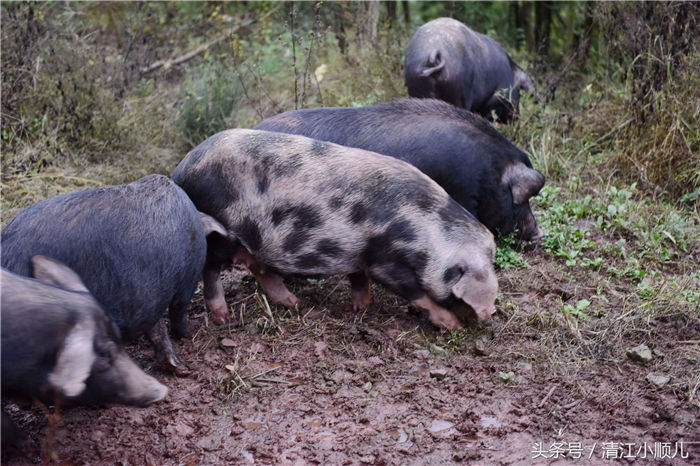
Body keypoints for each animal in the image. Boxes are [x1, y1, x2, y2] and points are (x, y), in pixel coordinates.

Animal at [171, 129, 498, 330]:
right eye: (461, 296)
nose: (484, 316)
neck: (429, 236)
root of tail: (181, 170)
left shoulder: (358, 254)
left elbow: (359, 282)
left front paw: (358, 309)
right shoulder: (385, 259)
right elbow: (413, 290)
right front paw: (451, 324)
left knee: (258, 266)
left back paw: (294, 303)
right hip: (221, 230)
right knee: (211, 267)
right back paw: (223, 318)